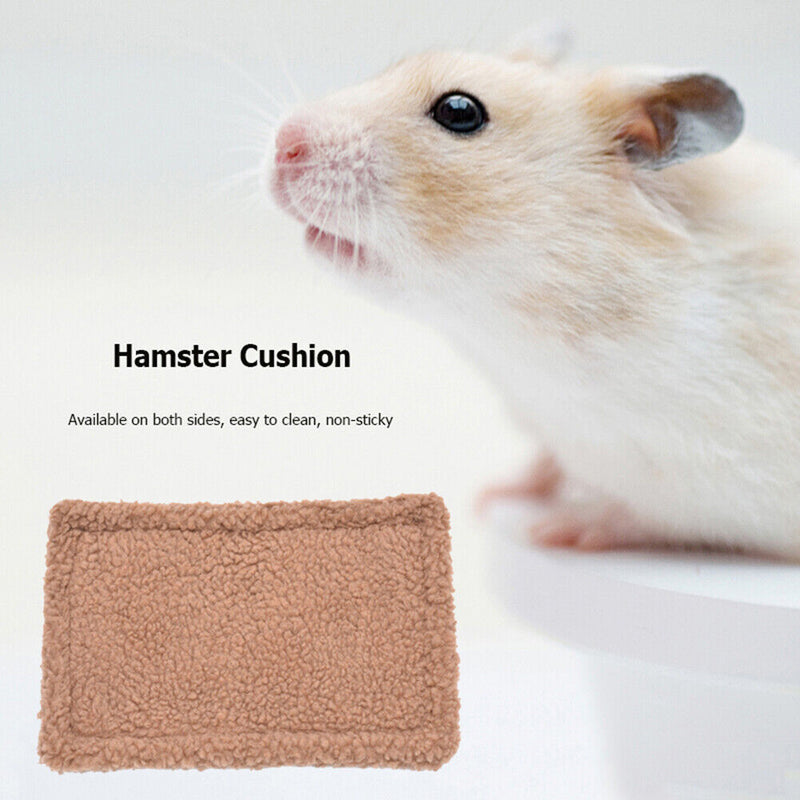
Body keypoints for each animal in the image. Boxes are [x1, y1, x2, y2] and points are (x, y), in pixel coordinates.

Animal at [268, 41, 800, 560]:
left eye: (459, 111)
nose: (282, 144)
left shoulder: (717, 479)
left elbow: (651, 514)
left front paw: (553, 529)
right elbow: (545, 463)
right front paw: (494, 493)